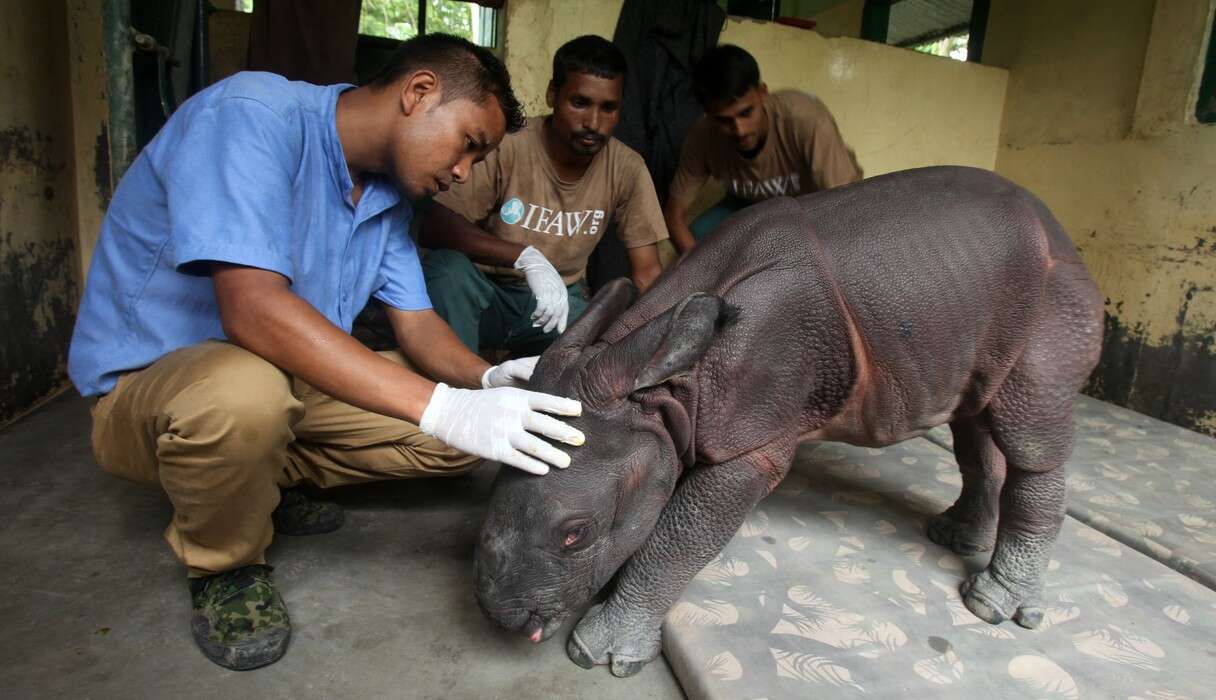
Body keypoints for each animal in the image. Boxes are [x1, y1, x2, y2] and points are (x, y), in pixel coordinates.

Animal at [469, 166, 1108, 675]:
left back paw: (992, 606)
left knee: (1029, 431)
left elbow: (678, 538)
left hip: (1057, 295)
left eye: (574, 534)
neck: (661, 393)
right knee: (975, 417)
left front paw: (601, 654)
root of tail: (1059, 230)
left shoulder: (752, 440)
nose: (502, 617)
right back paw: (954, 537)